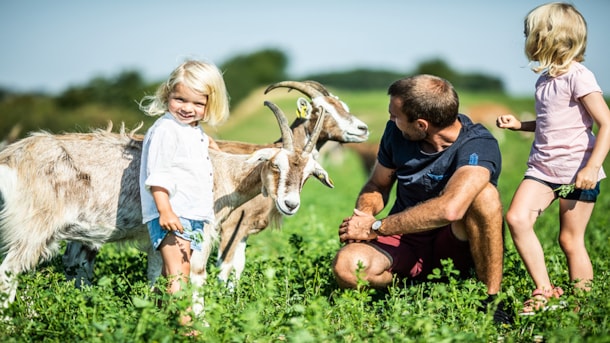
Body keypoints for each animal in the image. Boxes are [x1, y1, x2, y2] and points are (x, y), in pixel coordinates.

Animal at [0, 100, 330, 314]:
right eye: (275, 165)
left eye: (308, 174)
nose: (290, 204)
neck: (221, 171)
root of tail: (12, 157)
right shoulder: (198, 232)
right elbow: (196, 275)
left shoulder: (158, 240)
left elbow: (156, 279)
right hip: (33, 227)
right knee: (8, 271)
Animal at [214, 80, 368, 284]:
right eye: (323, 110)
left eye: (344, 107)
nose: (363, 129)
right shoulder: (230, 226)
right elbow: (224, 270)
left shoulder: (245, 228)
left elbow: (237, 267)